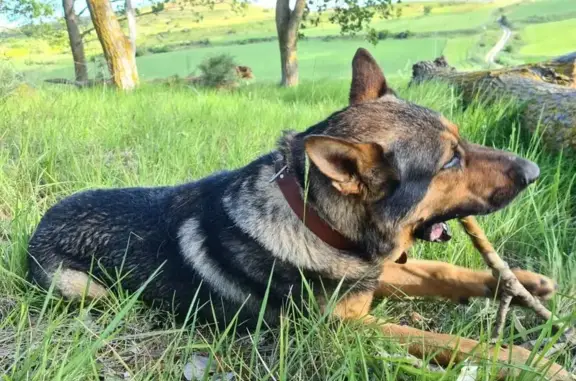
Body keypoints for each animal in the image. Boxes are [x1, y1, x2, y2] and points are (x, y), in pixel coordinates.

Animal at [28, 49, 572, 378]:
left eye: (462, 142)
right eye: (450, 162)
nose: (535, 171)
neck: (314, 218)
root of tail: (38, 225)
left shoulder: (369, 275)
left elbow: (441, 270)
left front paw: (521, 283)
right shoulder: (347, 325)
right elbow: (446, 340)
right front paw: (530, 362)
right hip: (80, 289)